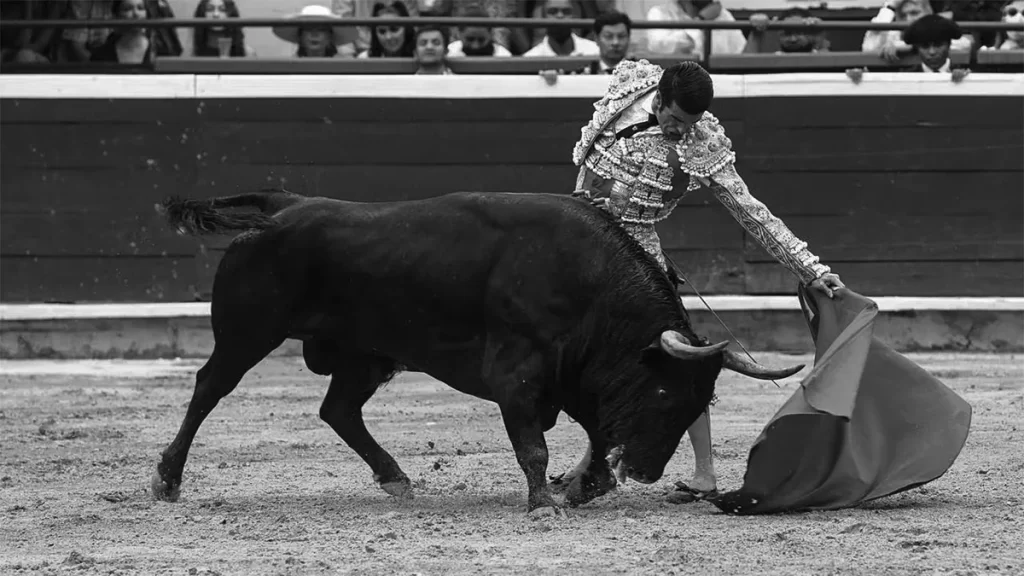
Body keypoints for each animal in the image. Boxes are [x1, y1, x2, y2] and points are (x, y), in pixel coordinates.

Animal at [151, 189, 798, 516]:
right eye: (664, 391)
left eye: (697, 403)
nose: (645, 471)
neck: (586, 281)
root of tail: (277, 213)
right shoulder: (518, 374)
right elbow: (534, 444)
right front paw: (544, 503)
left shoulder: (574, 376)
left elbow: (594, 429)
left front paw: (584, 487)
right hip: (247, 334)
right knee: (208, 389)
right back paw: (167, 480)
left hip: (364, 354)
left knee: (338, 410)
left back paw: (396, 480)